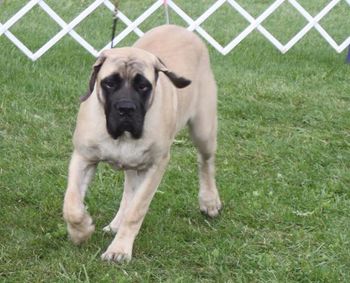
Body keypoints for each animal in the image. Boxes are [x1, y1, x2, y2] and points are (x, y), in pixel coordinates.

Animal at [63, 25, 221, 264]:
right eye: (110, 82)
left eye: (143, 86)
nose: (126, 108)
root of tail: (178, 28)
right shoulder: (83, 157)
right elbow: (71, 203)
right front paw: (81, 231)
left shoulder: (156, 165)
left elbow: (137, 209)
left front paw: (119, 249)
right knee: (129, 191)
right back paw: (115, 224)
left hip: (203, 130)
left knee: (206, 163)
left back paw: (209, 201)